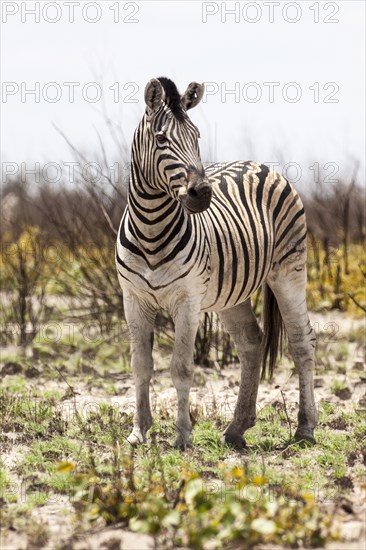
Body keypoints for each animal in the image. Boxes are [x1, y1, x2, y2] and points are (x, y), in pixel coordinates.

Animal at [116, 76, 318, 452]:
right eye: (162, 139)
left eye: (196, 136)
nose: (202, 193)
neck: (151, 229)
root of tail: (256, 163)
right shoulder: (133, 299)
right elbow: (140, 366)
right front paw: (138, 432)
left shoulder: (188, 301)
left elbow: (181, 368)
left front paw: (182, 436)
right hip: (232, 294)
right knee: (251, 343)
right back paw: (237, 427)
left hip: (290, 271)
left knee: (302, 342)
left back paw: (305, 428)